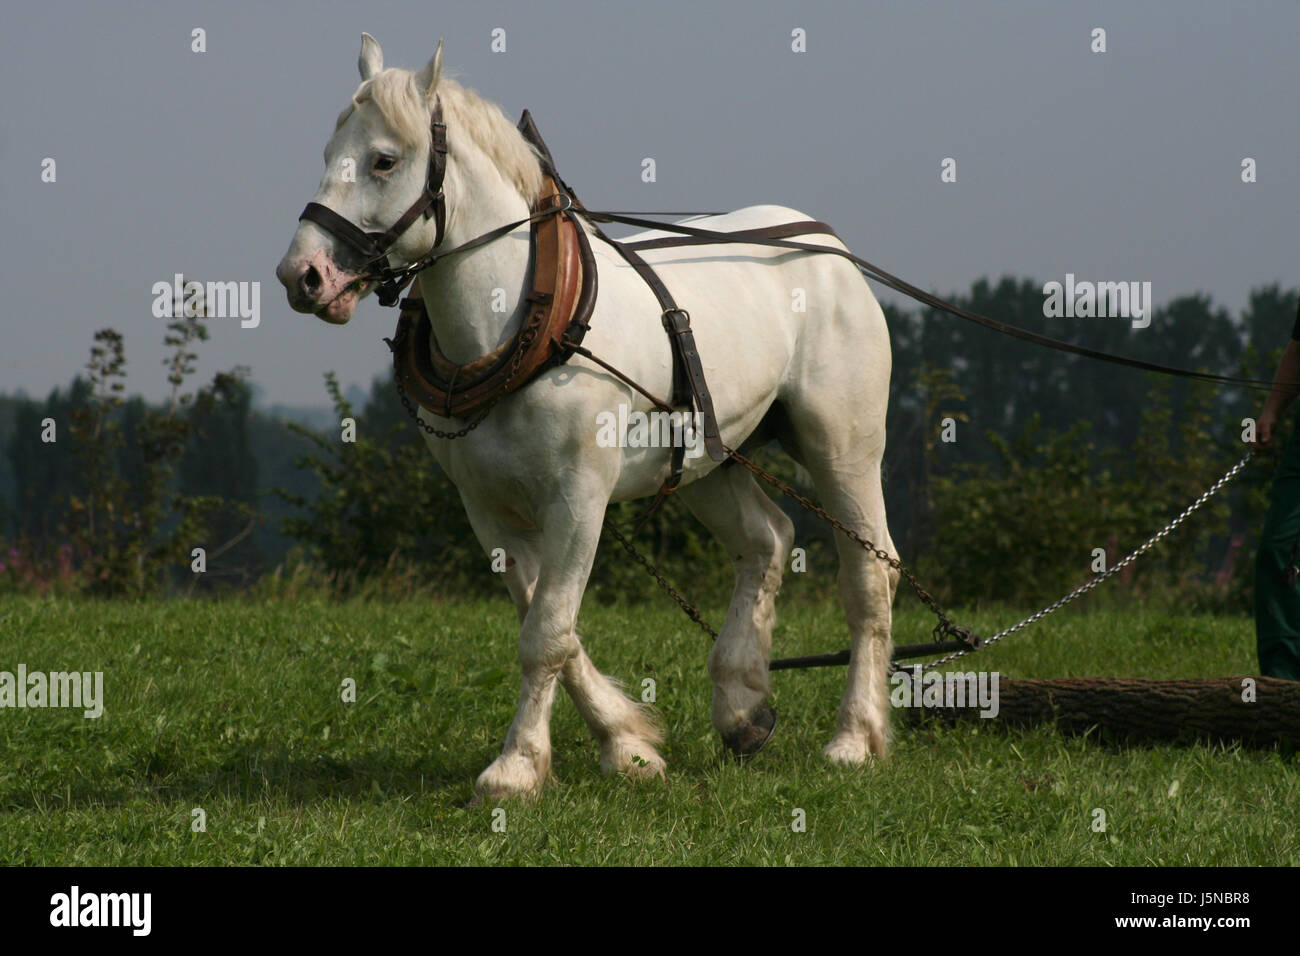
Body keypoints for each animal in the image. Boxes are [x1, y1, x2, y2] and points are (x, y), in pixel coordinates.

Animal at [276, 34, 900, 800]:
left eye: (384, 160)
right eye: (328, 151)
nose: (302, 276)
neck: (523, 325)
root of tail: (827, 245)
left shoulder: (579, 498)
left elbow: (547, 632)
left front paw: (516, 769)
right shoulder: (489, 510)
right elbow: (549, 624)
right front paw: (627, 745)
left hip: (842, 446)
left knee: (869, 574)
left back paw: (854, 737)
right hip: (710, 460)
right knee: (767, 540)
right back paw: (742, 706)